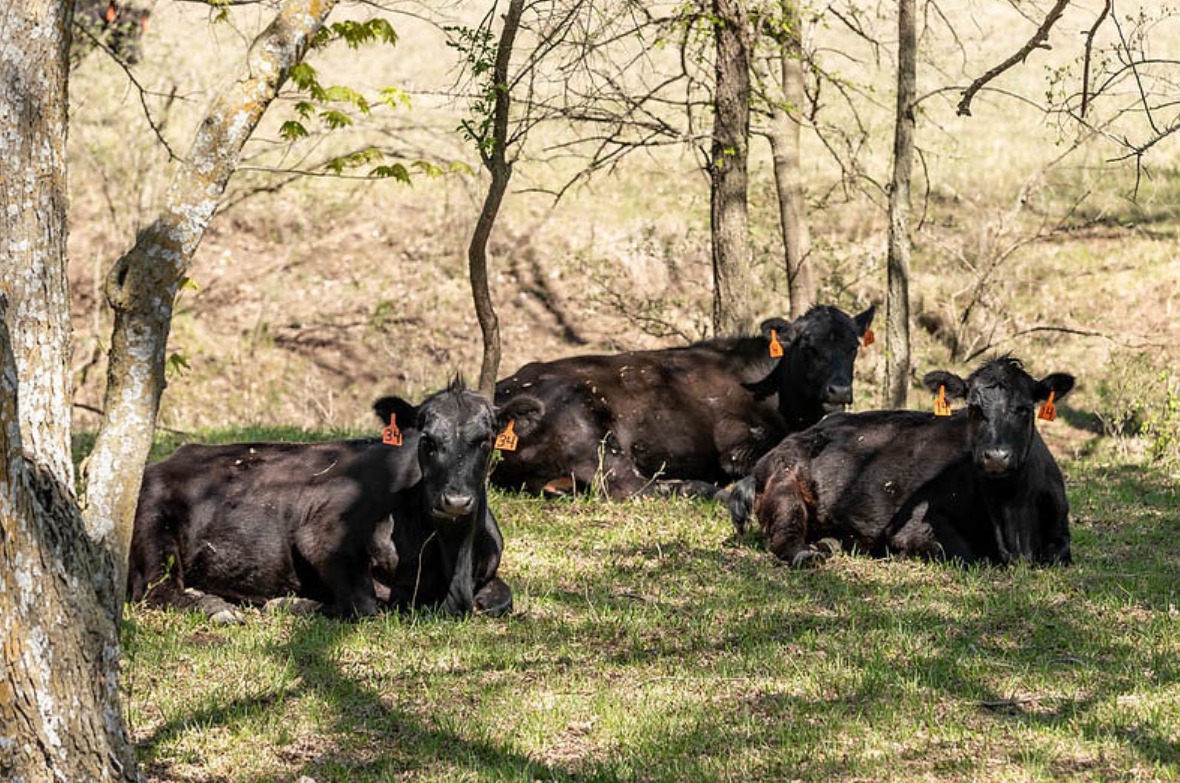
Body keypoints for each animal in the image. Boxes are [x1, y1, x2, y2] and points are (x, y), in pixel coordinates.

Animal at [128, 379, 538, 622]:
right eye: (427, 440)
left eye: (486, 439)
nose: (454, 500)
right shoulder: (321, 536)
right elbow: (367, 605)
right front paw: (293, 603)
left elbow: (502, 599)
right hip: (152, 525)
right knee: (157, 589)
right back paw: (216, 607)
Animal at [490, 304, 876, 499]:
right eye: (808, 345)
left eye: (853, 347)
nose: (839, 390)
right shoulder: (735, 447)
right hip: (594, 440)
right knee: (632, 488)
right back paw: (705, 488)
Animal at [728, 357, 1074, 567]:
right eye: (974, 408)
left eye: (1024, 409)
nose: (995, 456)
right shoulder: (916, 527)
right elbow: (966, 555)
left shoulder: (1061, 536)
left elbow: (1058, 554)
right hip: (785, 481)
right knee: (786, 539)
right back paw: (808, 554)